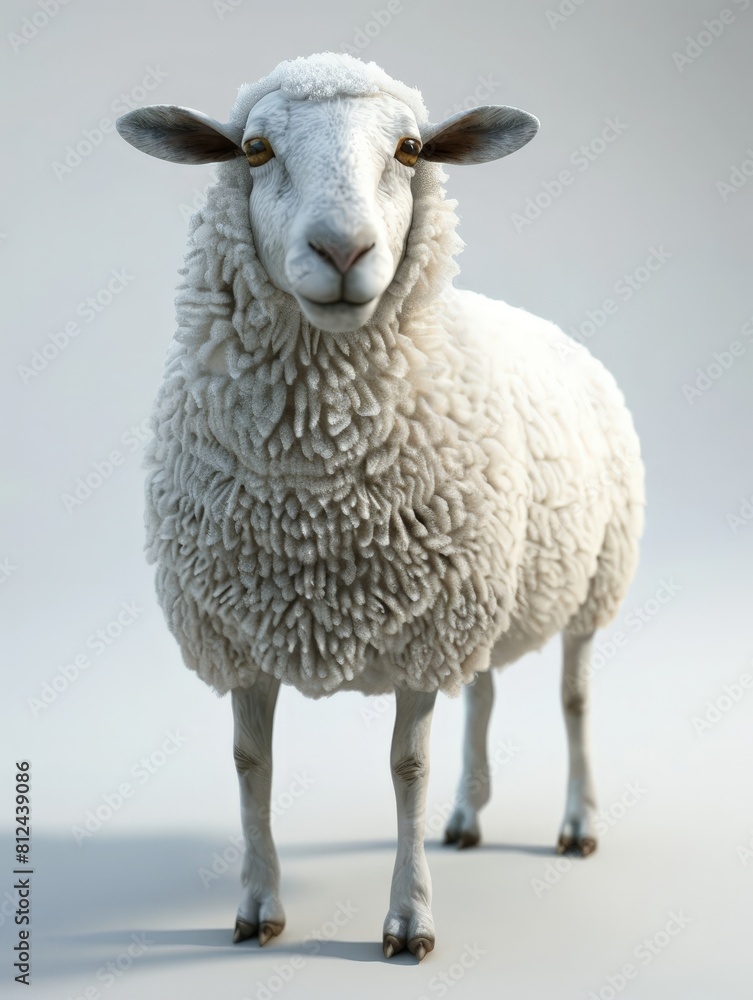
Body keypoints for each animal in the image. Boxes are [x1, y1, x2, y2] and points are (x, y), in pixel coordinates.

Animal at [116, 51, 645, 961]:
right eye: (253, 149)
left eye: (409, 149)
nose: (342, 248)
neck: (316, 494)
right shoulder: (243, 634)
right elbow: (250, 765)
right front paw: (257, 908)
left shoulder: (423, 634)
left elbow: (407, 770)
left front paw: (410, 921)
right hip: (489, 589)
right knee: (486, 692)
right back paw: (466, 818)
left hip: (592, 580)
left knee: (574, 701)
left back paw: (577, 824)